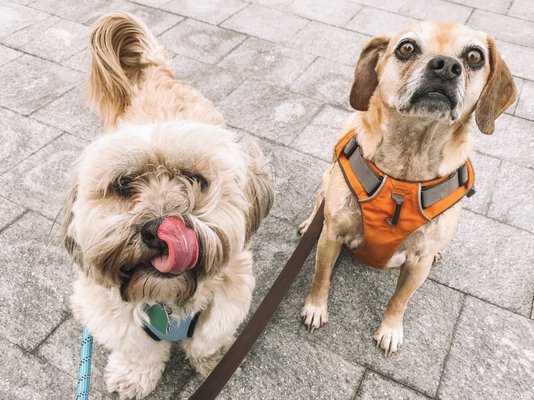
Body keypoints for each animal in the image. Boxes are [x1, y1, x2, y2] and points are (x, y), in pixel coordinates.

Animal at [64, 12, 274, 400]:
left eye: (193, 178)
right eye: (123, 184)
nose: (158, 231)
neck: (167, 300)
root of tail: (155, 72)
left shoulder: (226, 301)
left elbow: (207, 340)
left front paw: (215, 361)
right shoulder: (119, 317)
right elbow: (140, 351)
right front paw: (133, 376)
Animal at [300, 21, 516, 356]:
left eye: (474, 56)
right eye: (406, 48)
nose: (446, 67)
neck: (406, 168)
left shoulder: (417, 264)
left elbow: (399, 300)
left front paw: (390, 329)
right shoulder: (332, 237)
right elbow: (321, 277)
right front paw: (315, 309)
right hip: (327, 180)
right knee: (318, 203)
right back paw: (310, 221)